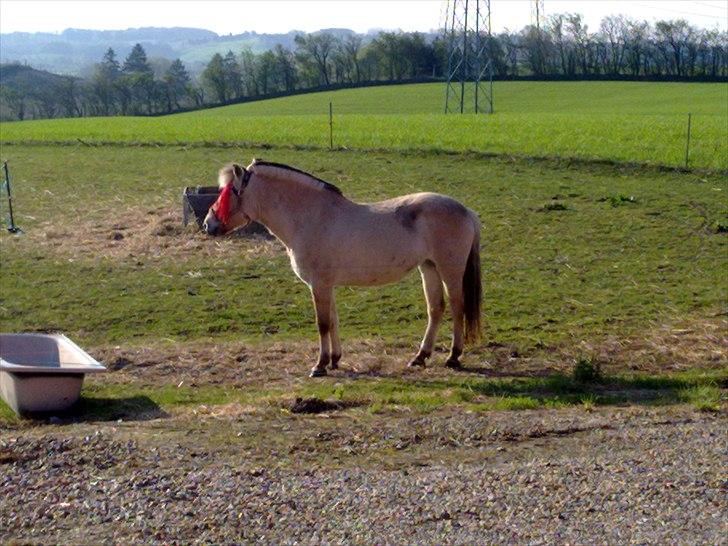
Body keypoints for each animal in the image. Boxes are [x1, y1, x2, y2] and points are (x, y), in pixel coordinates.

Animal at [202, 159, 480, 376]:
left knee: (458, 307)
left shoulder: (319, 284)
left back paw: (453, 357)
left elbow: (323, 323)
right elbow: (333, 320)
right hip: (429, 268)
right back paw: (420, 357)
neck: (311, 217)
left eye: (228, 191)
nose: (208, 224)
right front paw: (335, 360)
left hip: (450, 270)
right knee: (436, 309)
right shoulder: (326, 285)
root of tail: (466, 211)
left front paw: (320, 366)